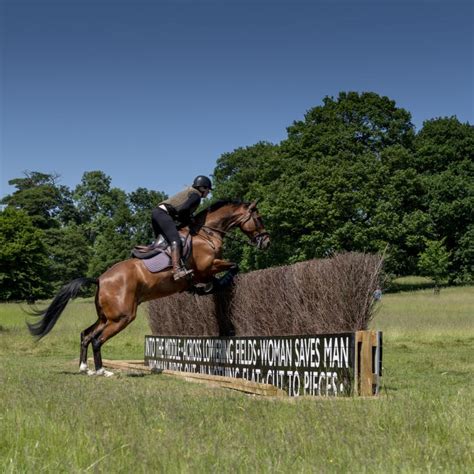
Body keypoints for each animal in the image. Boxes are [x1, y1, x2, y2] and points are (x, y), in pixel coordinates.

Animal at [26, 202, 270, 376]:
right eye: (258, 218)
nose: (266, 242)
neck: (206, 233)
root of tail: (100, 279)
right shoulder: (207, 267)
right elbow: (232, 266)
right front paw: (215, 284)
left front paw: (203, 288)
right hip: (122, 317)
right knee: (96, 339)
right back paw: (102, 371)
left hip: (107, 316)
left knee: (86, 335)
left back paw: (85, 368)